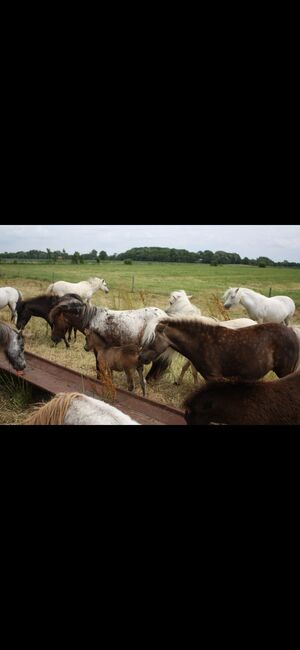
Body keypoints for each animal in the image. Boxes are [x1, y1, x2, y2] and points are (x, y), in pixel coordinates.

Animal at [139, 318, 300, 382]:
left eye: (151, 339)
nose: (140, 357)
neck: (201, 342)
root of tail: (292, 331)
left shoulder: (214, 377)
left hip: (285, 371)